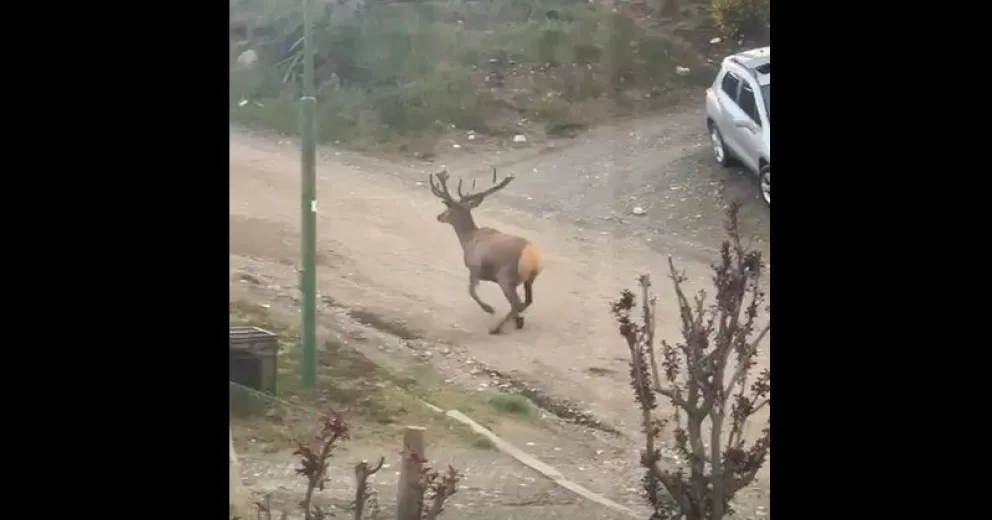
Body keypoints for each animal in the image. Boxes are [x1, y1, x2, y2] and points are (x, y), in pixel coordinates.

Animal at [428, 168, 544, 335]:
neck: (468, 240)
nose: (439, 216)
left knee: (517, 303)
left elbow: (471, 291)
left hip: (505, 276)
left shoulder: (474, 267)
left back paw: (496, 328)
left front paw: (489, 309)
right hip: (529, 279)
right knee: (526, 301)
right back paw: (517, 321)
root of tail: (533, 257)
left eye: (449, 209)